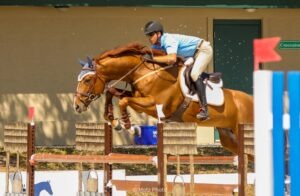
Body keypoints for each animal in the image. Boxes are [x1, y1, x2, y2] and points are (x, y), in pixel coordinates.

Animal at [73, 42, 253, 158]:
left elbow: (124, 101)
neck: (144, 72)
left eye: (87, 80)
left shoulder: (155, 106)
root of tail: (251, 100)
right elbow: (112, 93)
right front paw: (114, 120)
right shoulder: (137, 97)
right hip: (228, 137)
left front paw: (131, 128)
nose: (77, 106)